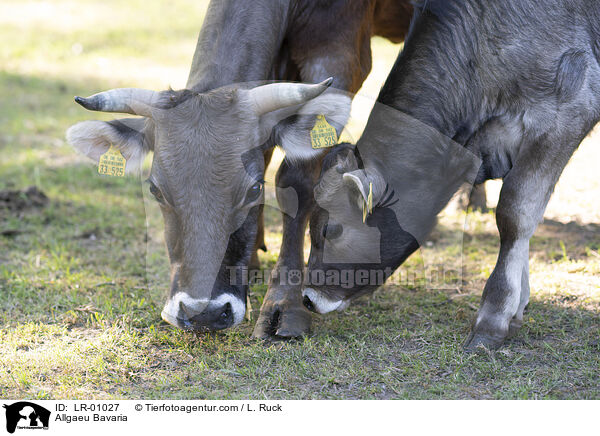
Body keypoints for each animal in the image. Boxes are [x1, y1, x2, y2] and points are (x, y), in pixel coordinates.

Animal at [64, 0, 412, 334]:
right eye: (155, 190)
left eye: (254, 189)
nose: (203, 313)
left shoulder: (339, 54)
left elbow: (295, 180)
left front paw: (284, 304)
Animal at [302, 0, 600, 350]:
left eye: (330, 230)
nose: (308, 298)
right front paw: (516, 309)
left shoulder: (567, 113)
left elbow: (514, 214)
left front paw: (493, 318)